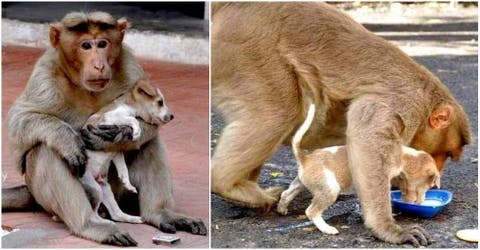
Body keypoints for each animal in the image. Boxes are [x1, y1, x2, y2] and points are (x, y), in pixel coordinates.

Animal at [3, 11, 206, 246]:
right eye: (85, 46)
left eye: (102, 44)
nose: (99, 65)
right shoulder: (45, 74)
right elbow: (20, 122)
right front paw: (69, 140)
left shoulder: (130, 65)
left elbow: (147, 129)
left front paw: (118, 136)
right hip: (59, 193)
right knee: (45, 148)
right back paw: (90, 224)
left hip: (113, 190)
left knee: (148, 143)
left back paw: (159, 214)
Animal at [276, 102, 440, 235]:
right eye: (430, 184)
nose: (421, 202)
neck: (404, 156)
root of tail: (305, 159)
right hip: (330, 189)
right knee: (311, 212)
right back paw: (327, 229)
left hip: (301, 183)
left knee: (286, 193)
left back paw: (282, 209)